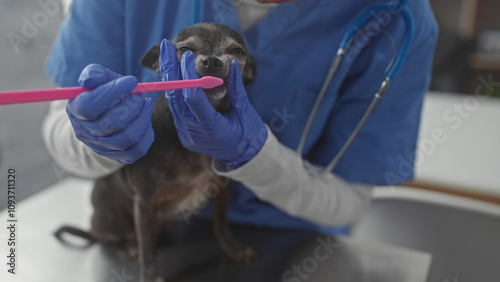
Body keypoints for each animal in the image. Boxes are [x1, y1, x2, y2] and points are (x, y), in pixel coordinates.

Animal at [55, 23, 258, 282]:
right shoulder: (144, 205)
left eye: (237, 51)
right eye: (184, 49)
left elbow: (221, 224)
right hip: (112, 217)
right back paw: (127, 247)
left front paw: (233, 248)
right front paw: (148, 276)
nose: (212, 61)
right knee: (111, 238)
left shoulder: (222, 188)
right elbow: (148, 253)